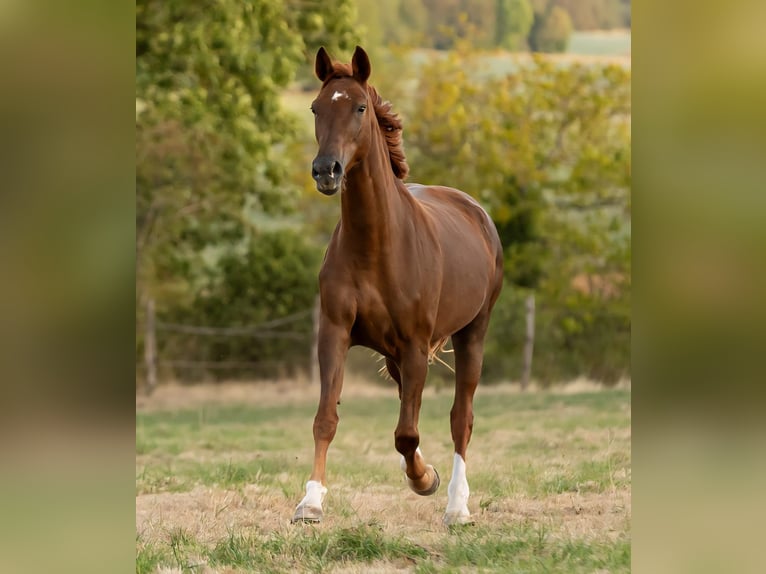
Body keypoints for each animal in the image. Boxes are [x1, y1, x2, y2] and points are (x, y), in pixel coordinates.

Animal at [292, 46, 503, 526]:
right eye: (315, 108)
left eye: (359, 107)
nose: (326, 170)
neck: (376, 244)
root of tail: (476, 211)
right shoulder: (335, 333)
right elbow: (325, 419)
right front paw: (310, 502)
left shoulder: (414, 344)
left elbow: (406, 433)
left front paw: (424, 480)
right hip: (394, 355)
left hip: (472, 333)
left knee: (461, 417)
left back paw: (457, 506)